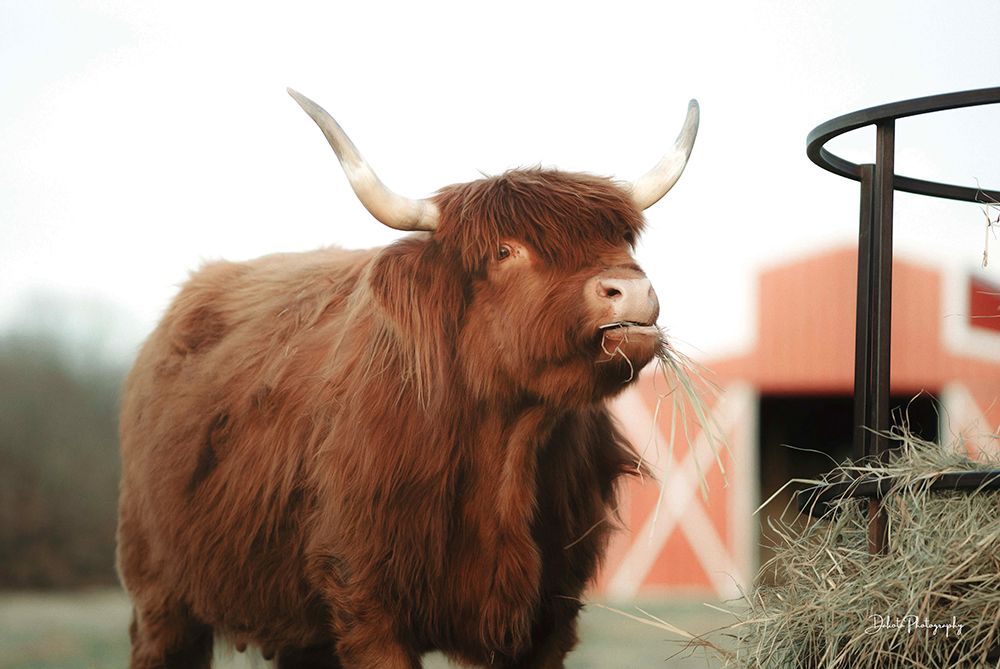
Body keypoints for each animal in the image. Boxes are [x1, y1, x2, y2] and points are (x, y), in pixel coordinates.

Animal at [116, 88, 698, 669]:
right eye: (504, 250)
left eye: (622, 239)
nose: (630, 289)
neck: (508, 449)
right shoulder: (367, 602)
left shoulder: (548, 618)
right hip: (160, 599)